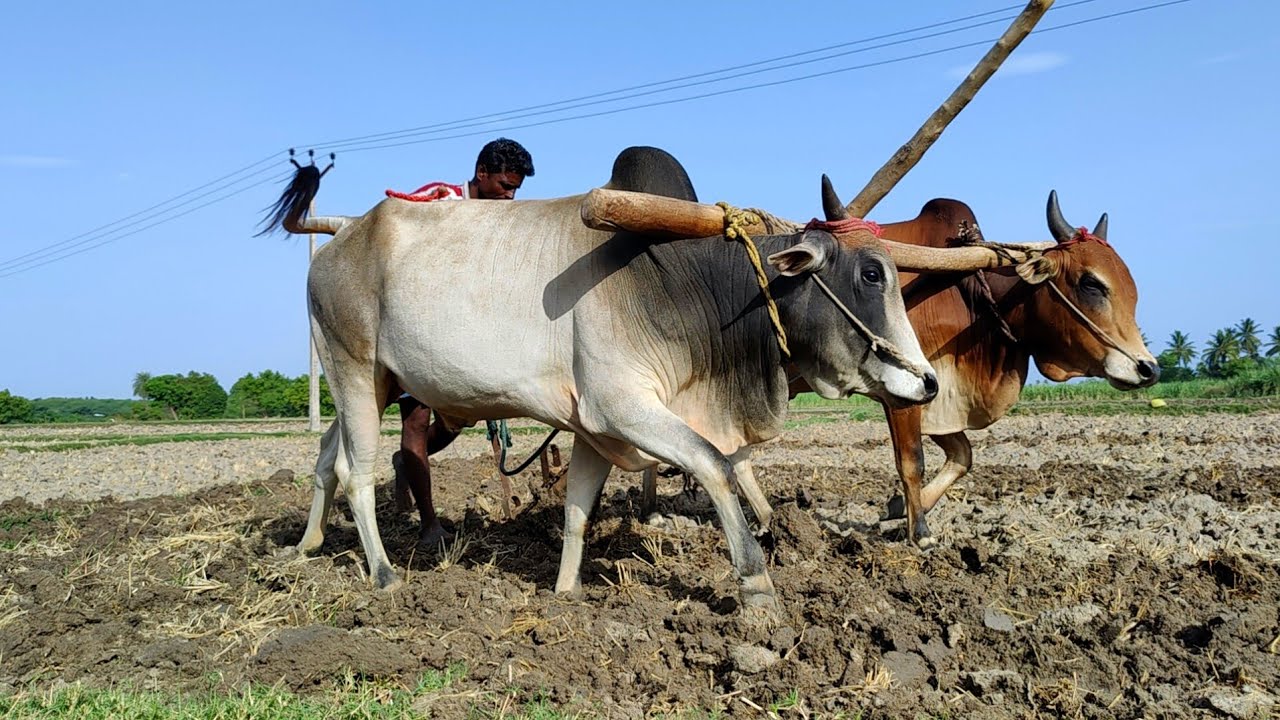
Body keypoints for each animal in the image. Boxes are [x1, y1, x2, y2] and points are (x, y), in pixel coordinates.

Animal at [262, 153, 938, 616]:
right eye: (871, 274)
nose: (928, 382)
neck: (680, 284)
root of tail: (347, 230)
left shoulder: (591, 427)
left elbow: (577, 513)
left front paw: (564, 596)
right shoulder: (625, 409)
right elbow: (717, 466)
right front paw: (757, 584)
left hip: (372, 382)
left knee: (325, 457)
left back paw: (306, 546)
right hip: (353, 368)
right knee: (356, 471)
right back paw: (383, 575)